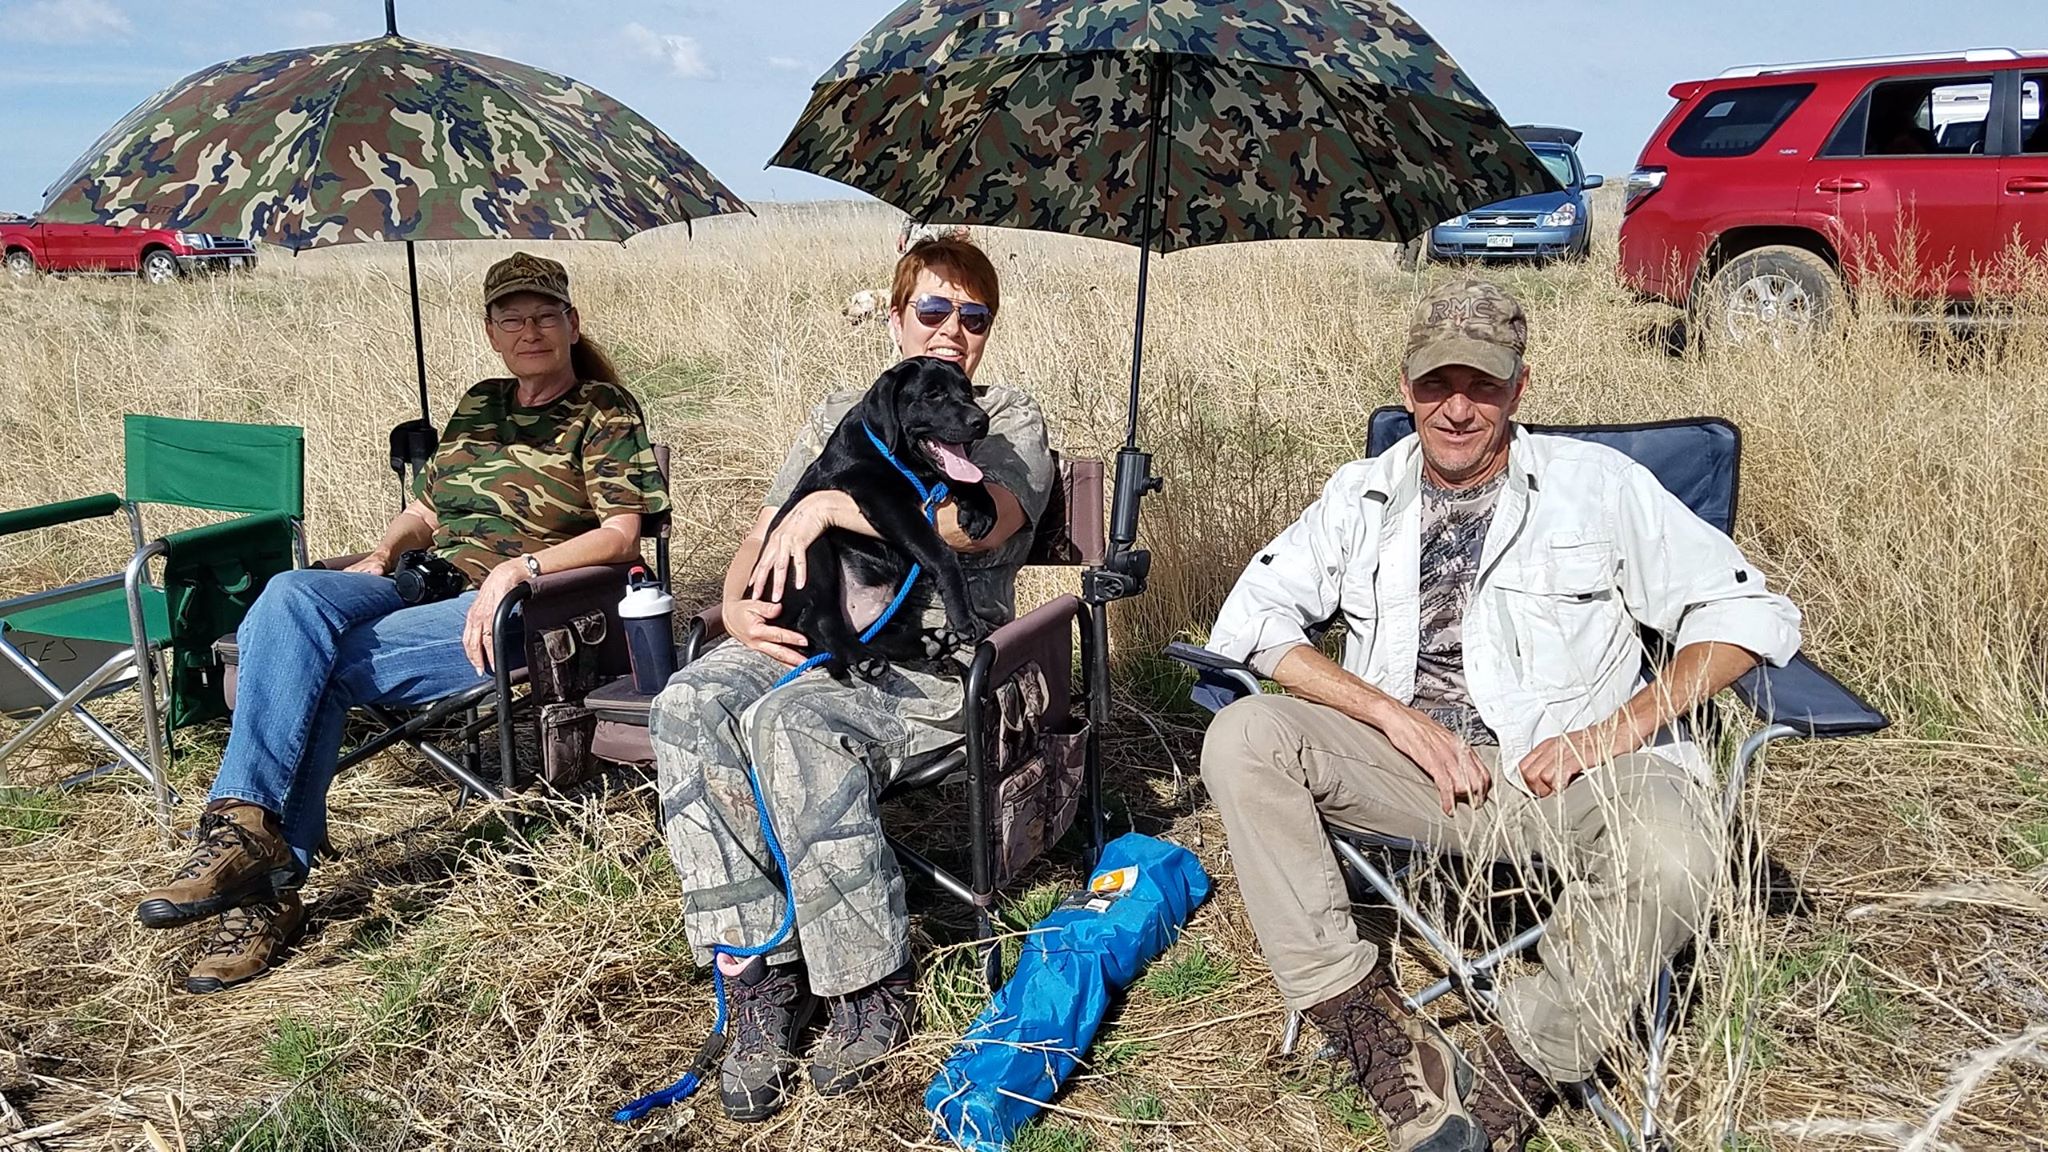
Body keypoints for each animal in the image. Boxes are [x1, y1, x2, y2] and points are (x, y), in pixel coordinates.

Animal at [765, 358, 1003, 676]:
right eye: (932, 395)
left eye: (967, 391)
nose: (981, 420)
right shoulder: (883, 500)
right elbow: (942, 554)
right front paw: (966, 618)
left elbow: (968, 476)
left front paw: (980, 509)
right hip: (808, 548)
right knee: (820, 619)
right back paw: (865, 659)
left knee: (873, 634)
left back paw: (929, 642)